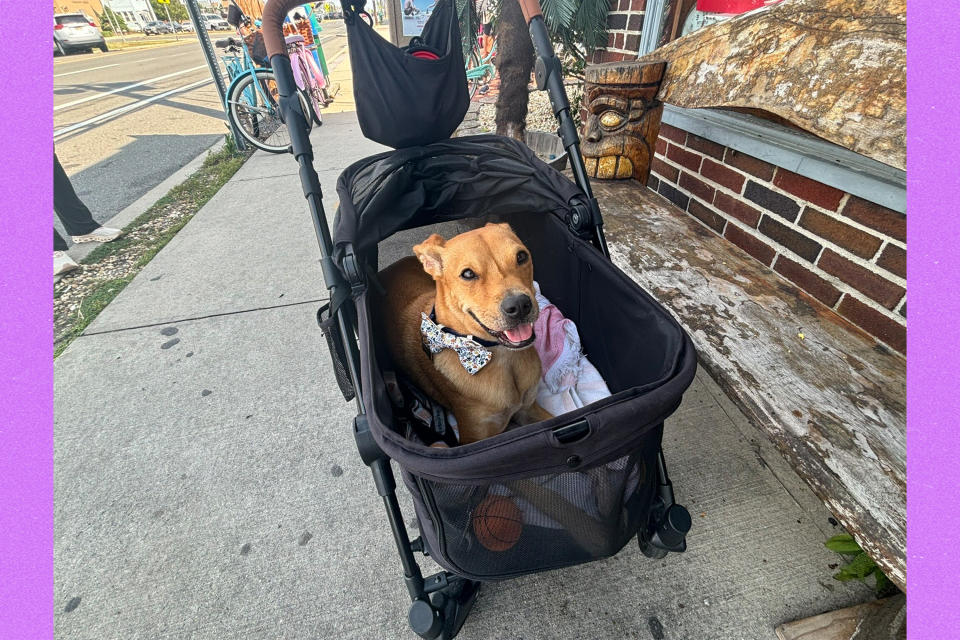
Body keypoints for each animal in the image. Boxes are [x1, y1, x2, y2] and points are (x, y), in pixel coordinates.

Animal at [376, 222, 556, 442]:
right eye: (468, 274)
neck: (504, 359)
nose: (520, 305)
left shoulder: (529, 409)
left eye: (521, 256)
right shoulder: (475, 435)